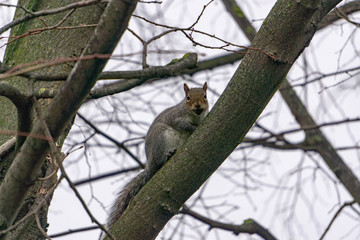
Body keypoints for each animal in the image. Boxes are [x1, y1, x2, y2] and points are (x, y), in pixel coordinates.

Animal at [103, 82, 208, 232]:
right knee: (160, 160)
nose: (198, 106)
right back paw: (168, 154)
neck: (196, 116)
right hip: (162, 137)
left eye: (205, 96)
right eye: (188, 97)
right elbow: (182, 124)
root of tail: (150, 164)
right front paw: (193, 128)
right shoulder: (175, 117)